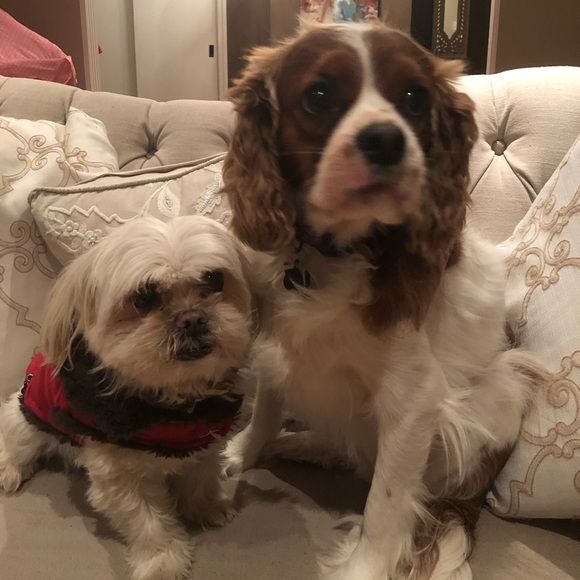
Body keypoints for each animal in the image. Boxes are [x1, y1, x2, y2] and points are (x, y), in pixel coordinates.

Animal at [0, 216, 254, 580]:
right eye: (144, 297)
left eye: (213, 279)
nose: (192, 318)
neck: (173, 402)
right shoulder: (121, 478)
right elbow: (148, 522)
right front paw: (163, 560)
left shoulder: (205, 442)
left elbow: (200, 478)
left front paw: (205, 507)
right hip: (25, 422)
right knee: (14, 445)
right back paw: (10, 469)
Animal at [221, 22, 546, 580]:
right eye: (319, 96)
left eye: (415, 98)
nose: (385, 139)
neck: (333, 252)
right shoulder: (276, 345)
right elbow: (266, 407)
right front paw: (243, 453)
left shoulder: (413, 400)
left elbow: (387, 501)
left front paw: (364, 567)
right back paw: (305, 443)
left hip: (504, 387)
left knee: (401, 480)